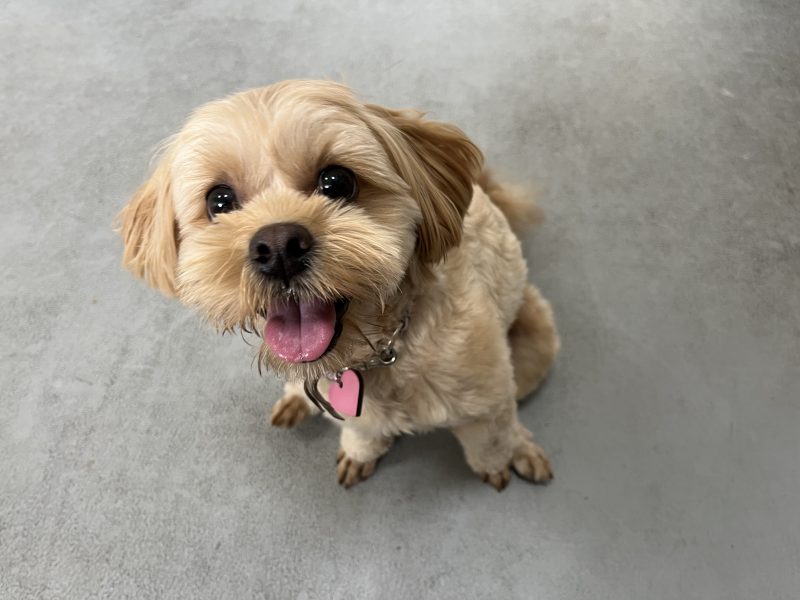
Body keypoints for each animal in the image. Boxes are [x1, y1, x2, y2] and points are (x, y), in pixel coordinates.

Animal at [117, 80, 559, 490]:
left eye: (337, 181)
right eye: (219, 201)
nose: (278, 248)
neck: (380, 348)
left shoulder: (487, 408)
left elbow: (491, 443)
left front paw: (500, 463)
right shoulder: (356, 413)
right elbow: (362, 433)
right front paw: (359, 452)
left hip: (532, 345)